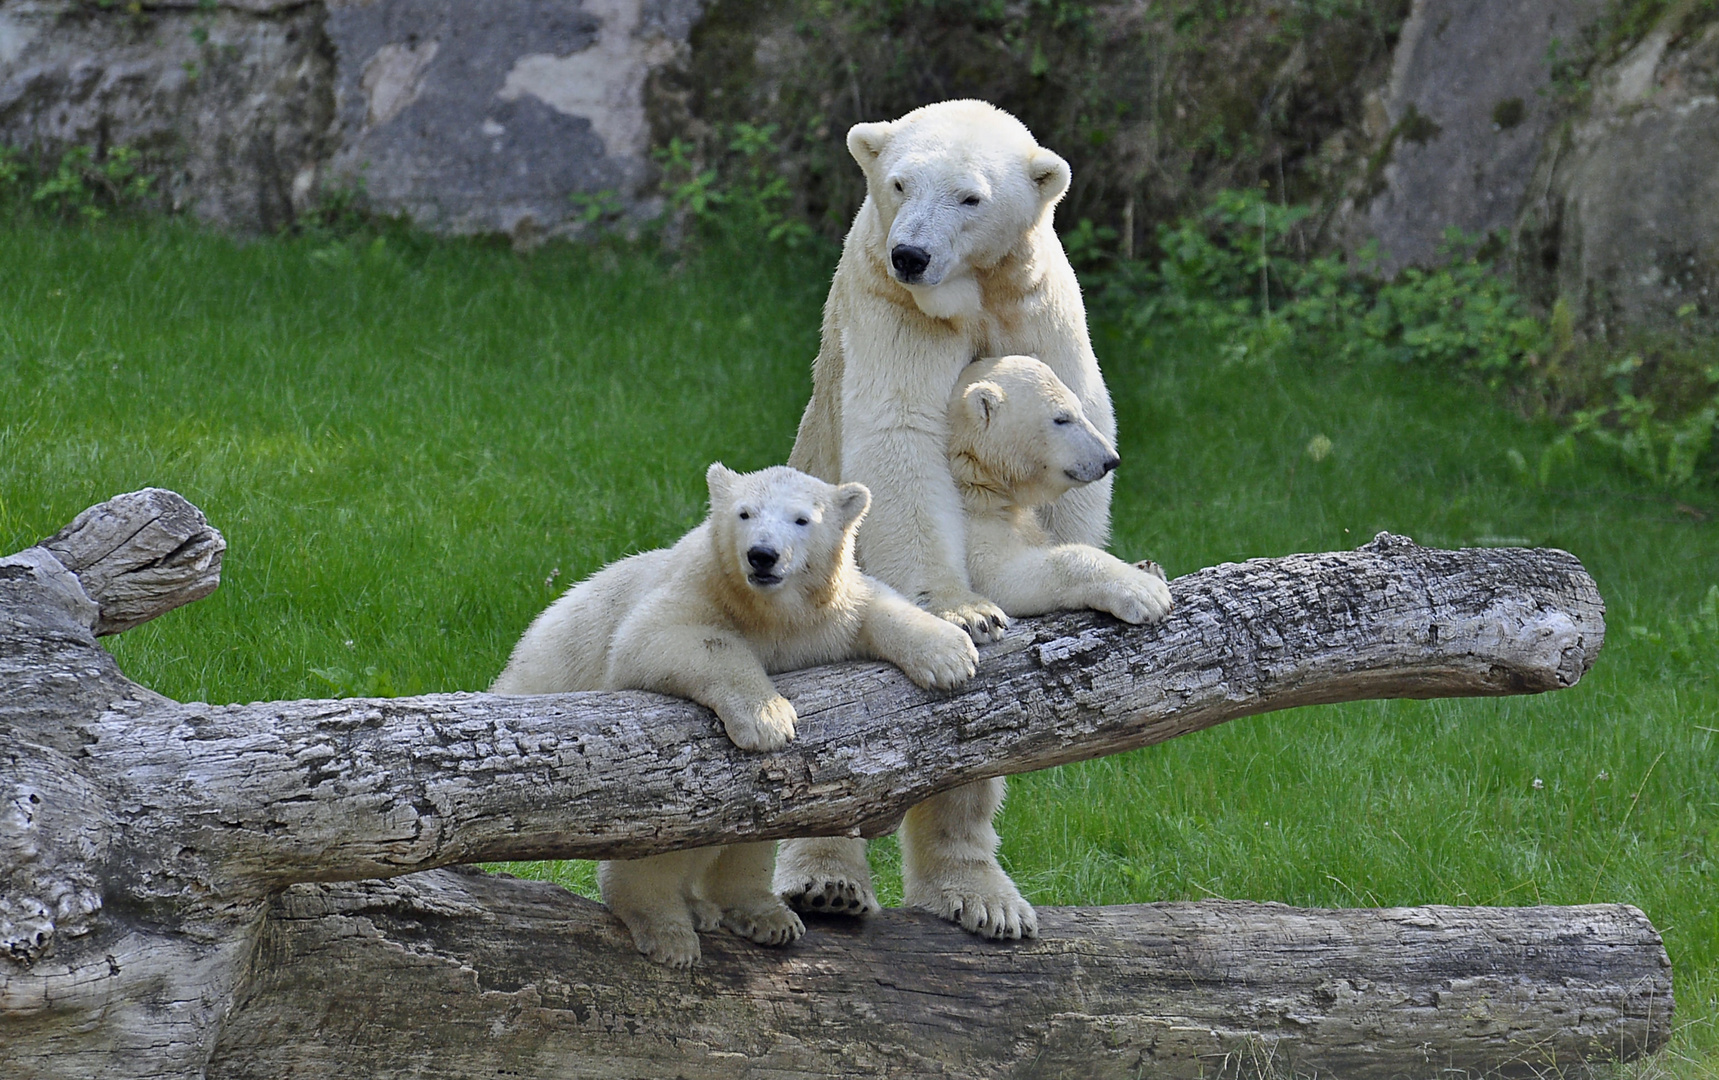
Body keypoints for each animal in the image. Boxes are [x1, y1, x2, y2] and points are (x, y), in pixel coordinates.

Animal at [780, 103, 1113, 942]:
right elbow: (899, 435)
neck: (974, 291)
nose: (911, 254)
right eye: (899, 183)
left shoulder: (1039, 308)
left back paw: (980, 897)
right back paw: (827, 884)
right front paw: (969, 613)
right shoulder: (888, 308)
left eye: (970, 196)